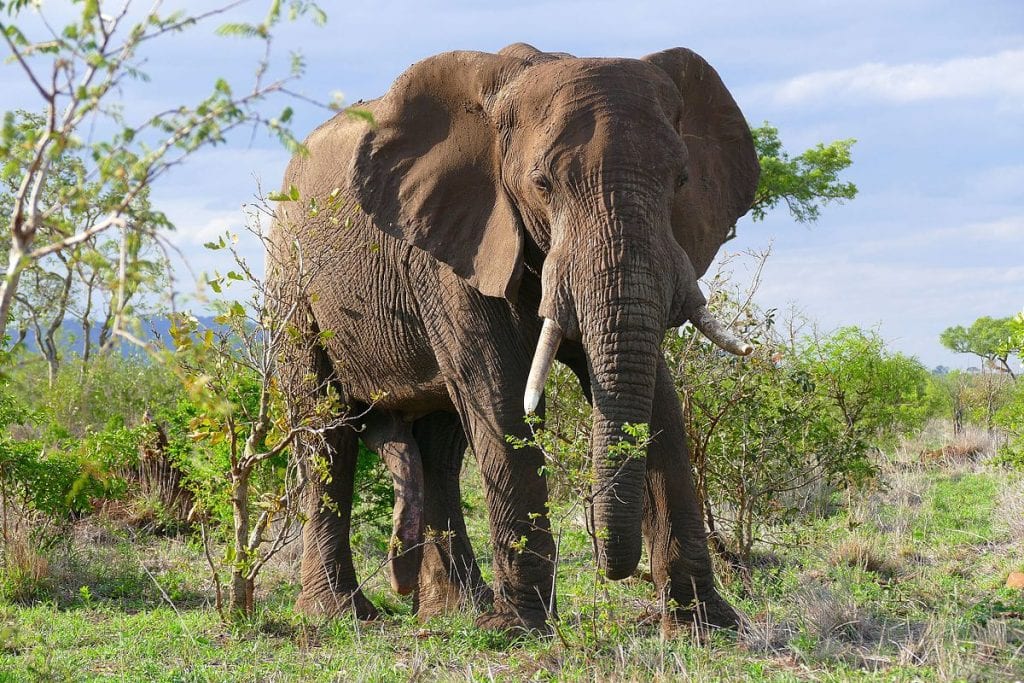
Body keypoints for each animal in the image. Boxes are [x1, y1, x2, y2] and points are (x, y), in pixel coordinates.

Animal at [269, 42, 759, 632]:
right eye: (543, 184)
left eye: (682, 180)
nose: (613, 568)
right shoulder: (456, 248)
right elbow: (501, 394)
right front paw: (521, 629)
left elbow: (659, 398)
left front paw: (709, 627)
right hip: (292, 281)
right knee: (327, 431)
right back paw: (341, 616)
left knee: (440, 446)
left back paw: (456, 610)